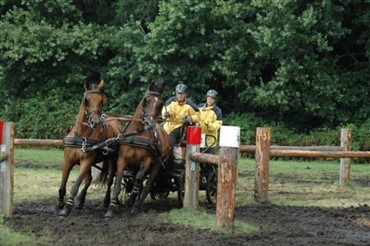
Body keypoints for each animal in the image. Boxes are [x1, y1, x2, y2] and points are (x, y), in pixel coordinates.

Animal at [57, 80, 122, 217]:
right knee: (89, 180)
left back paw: (106, 202)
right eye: (86, 100)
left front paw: (67, 207)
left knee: (109, 181)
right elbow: (63, 185)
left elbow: (75, 186)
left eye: (101, 100)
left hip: (113, 160)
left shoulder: (86, 162)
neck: (82, 135)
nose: (95, 122)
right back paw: (81, 201)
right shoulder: (68, 161)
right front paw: (59, 204)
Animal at [105, 82, 170, 217]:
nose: (150, 124)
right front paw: (111, 209)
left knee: (147, 185)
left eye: (160, 103)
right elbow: (117, 183)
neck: (138, 133)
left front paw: (130, 200)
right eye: (146, 100)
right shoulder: (122, 160)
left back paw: (136, 205)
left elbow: (139, 180)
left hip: (156, 165)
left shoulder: (146, 162)